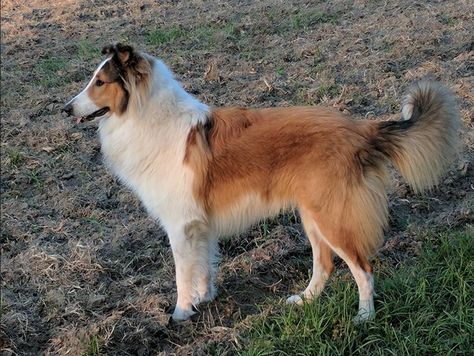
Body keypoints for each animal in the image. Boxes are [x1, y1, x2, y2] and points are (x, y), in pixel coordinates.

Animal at [63, 43, 460, 322]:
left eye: (100, 82)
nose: (65, 109)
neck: (148, 117)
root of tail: (360, 129)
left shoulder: (180, 225)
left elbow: (182, 273)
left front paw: (181, 312)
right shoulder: (200, 224)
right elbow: (205, 265)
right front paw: (206, 297)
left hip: (331, 216)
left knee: (363, 269)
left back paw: (364, 317)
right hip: (312, 215)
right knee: (325, 264)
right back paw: (305, 300)